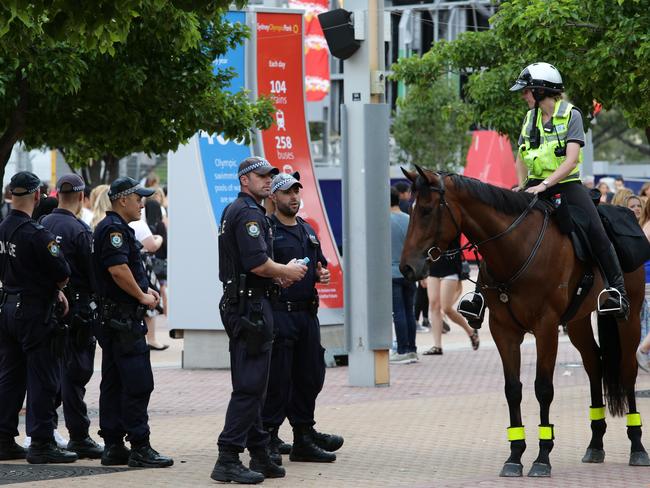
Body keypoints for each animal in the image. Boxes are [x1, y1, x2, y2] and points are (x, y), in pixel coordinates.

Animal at [398, 167, 644, 476]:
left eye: (427, 210)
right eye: (410, 209)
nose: (406, 268)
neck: (516, 248)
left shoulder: (546, 328)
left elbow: (543, 388)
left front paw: (542, 457)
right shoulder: (503, 330)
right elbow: (513, 389)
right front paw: (515, 455)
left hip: (629, 318)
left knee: (627, 370)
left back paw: (637, 446)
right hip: (577, 322)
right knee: (594, 365)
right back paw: (595, 444)